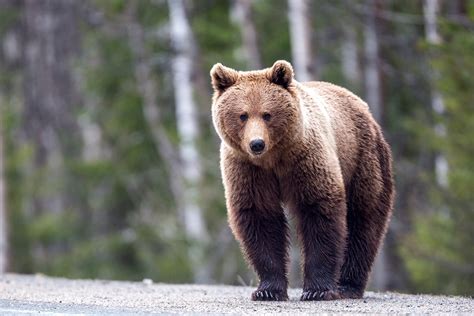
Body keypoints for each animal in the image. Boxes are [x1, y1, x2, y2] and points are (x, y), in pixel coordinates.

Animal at [210, 59, 392, 302]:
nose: (256, 143)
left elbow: (319, 212)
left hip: (362, 159)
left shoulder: (306, 160)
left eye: (267, 114)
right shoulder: (249, 170)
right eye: (243, 115)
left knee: (364, 219)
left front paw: (317, 289)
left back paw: (348, 285)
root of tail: (362, 106)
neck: (274, 158)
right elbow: (260, 218)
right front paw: (268, 289)